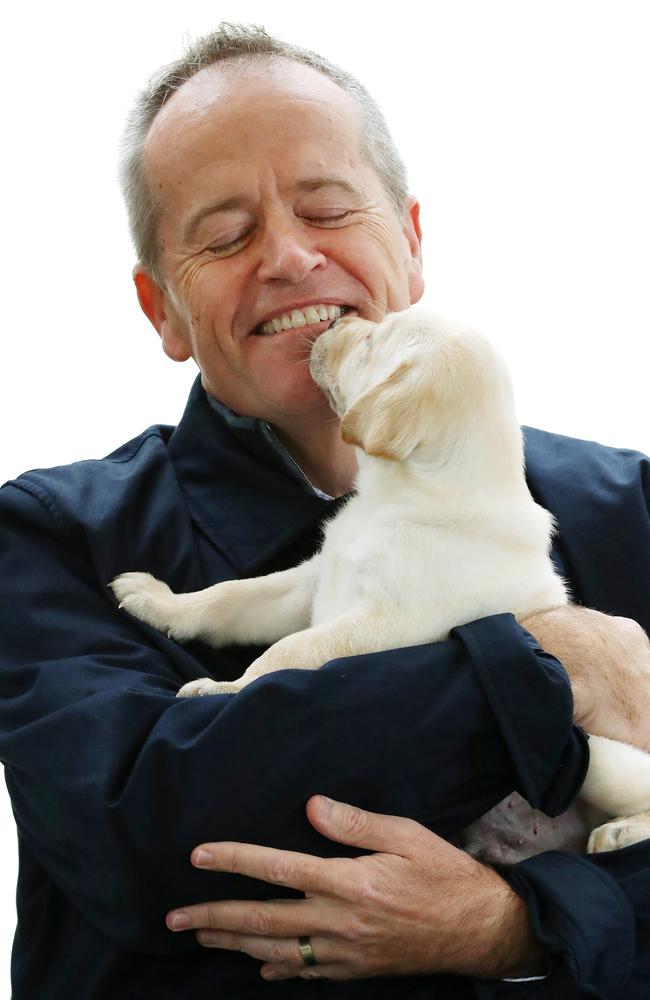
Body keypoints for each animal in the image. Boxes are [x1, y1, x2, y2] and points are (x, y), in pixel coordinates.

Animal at [110, 306, 648, 852]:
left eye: (371, 344)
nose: (332, 325)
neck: (402, 498)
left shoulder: (387, 625)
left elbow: (289, 652)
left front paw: (226, 690)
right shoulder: (311, 582)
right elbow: (231, 598)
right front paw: (160, 602)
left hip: (598, 750)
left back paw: (621, 831)